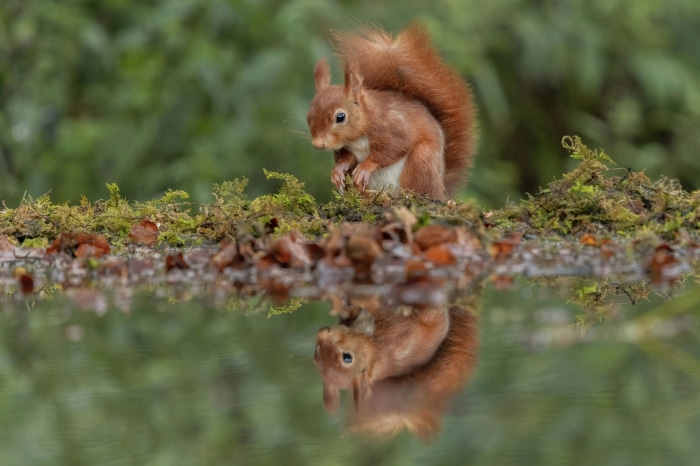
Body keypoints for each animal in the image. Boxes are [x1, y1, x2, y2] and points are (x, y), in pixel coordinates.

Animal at [306, 24, 477, 201]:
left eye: (340, 117)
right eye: (308, 117)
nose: (318, 144)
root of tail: (441, 190)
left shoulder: (394, 127)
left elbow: (392, 149)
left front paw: (365, 167)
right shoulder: (348, 147)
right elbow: (348, 158)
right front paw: (338, 170)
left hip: (422, 161)